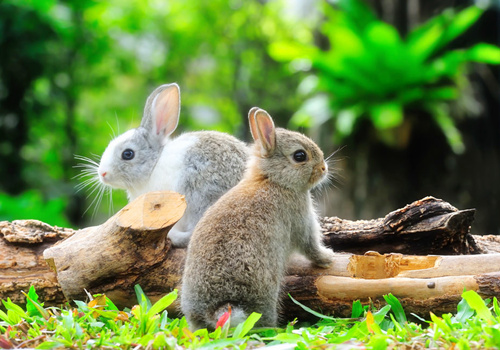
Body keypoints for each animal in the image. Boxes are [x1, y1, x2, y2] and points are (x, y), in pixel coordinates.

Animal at [178, 107, 334, 330]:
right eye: (300, 156)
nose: (323, 168)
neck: (273, 180)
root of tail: (217, 309)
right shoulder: (301, 218)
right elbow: (310, 246)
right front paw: (328, 258)